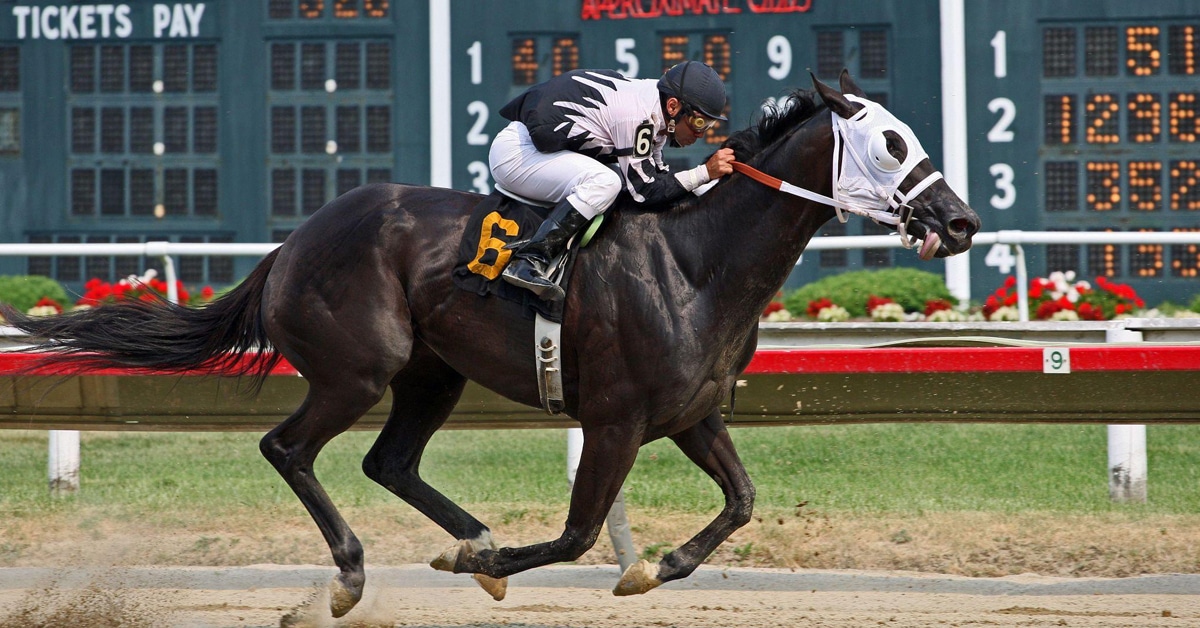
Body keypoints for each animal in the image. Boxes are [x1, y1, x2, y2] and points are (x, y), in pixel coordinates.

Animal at [5, 70, 979, 618]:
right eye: (891, 144)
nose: (961, 221)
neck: (694, 258)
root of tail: (295, 240)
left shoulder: (690, 415)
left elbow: (741, 501)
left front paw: (656, 564)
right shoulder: (616, 419)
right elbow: (579, 534)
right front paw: (521, 565)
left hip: (431, 375)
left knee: (389, 463)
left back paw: (465, 537)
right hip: (358, 369)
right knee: (288, 448)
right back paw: (354, 576)